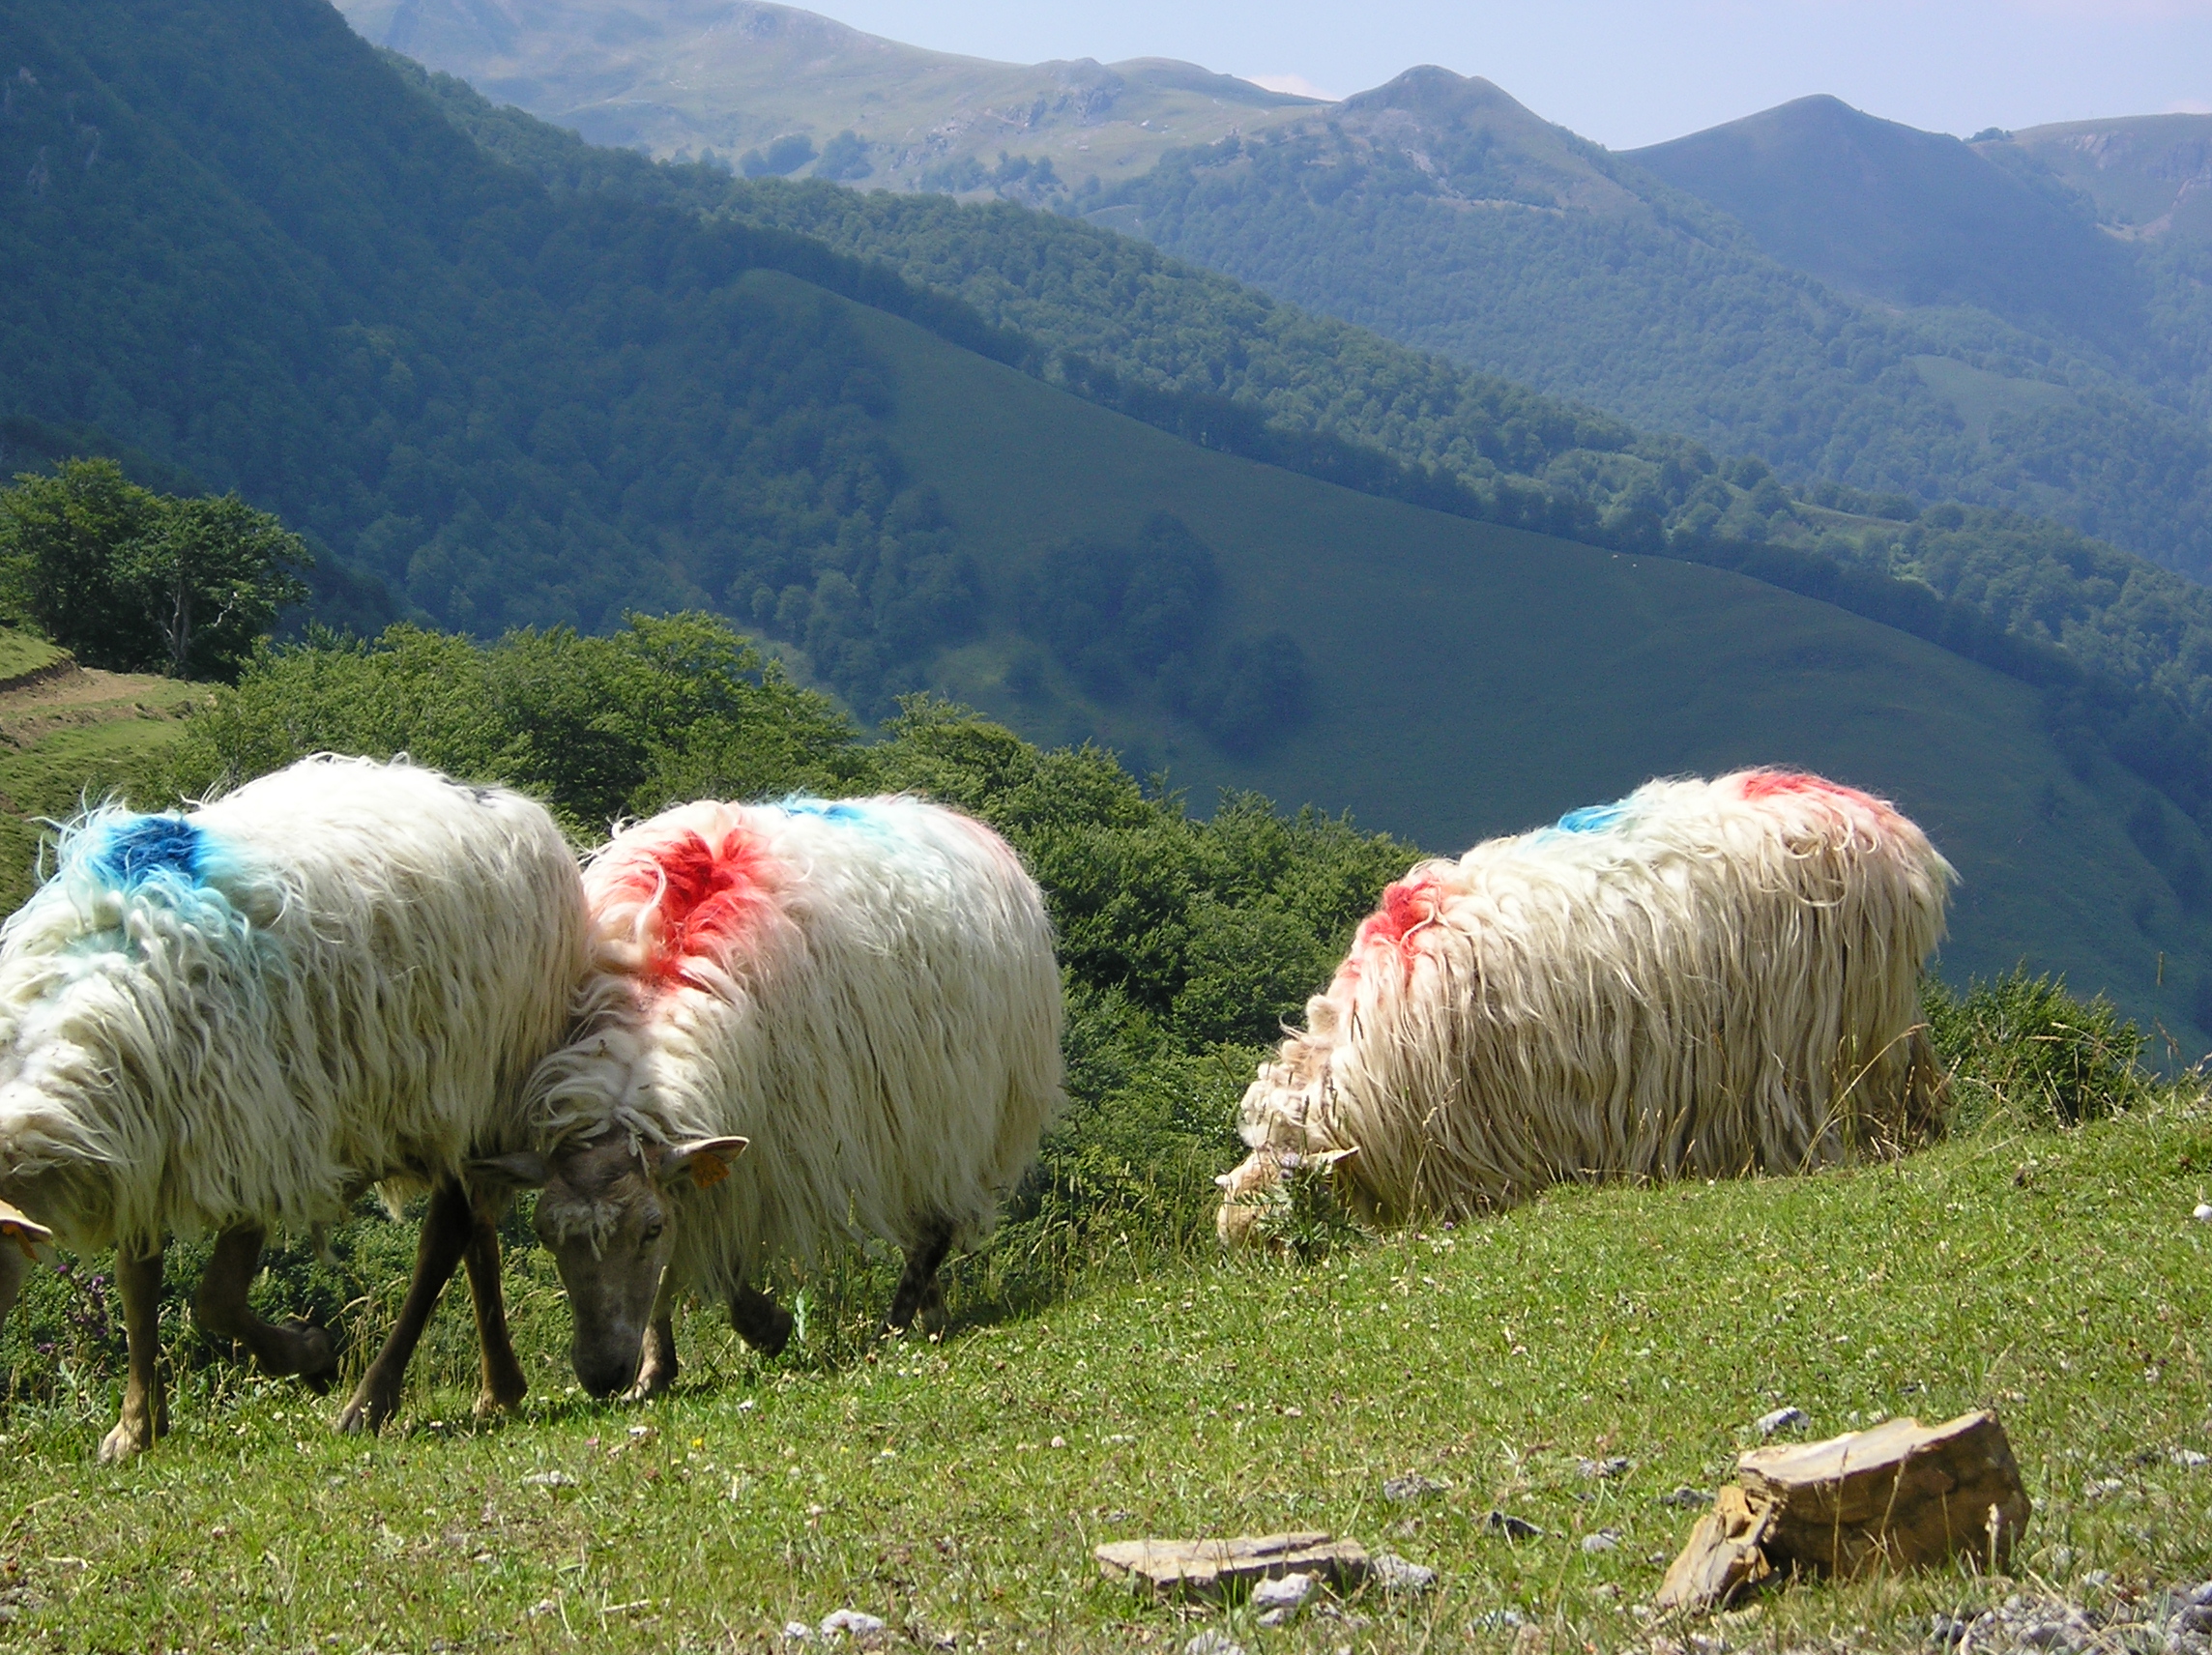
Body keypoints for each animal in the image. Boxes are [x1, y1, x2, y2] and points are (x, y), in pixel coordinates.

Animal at [0, 755, 589, 1459]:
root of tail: (511, 804)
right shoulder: (148, 1145)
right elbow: (137, 1288)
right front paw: (137, 1425)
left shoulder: (258, 1133)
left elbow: (214, 1300)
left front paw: (309, 1355)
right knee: (477, 1231)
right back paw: (497, 1388)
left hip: (475, 1081)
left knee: (445, 1236)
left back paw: (372, 1400)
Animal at [482, 794, 1063, 1400]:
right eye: (546, 1233)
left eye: (651, 1229)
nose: (601, 1376)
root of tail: (962, 824)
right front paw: (655, 1368)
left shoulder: (771, 1151)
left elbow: (719, 1263)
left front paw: (766, 1326)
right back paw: (931, 1315)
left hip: (953, 1114)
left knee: (933, 1229)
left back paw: (897, 1323)